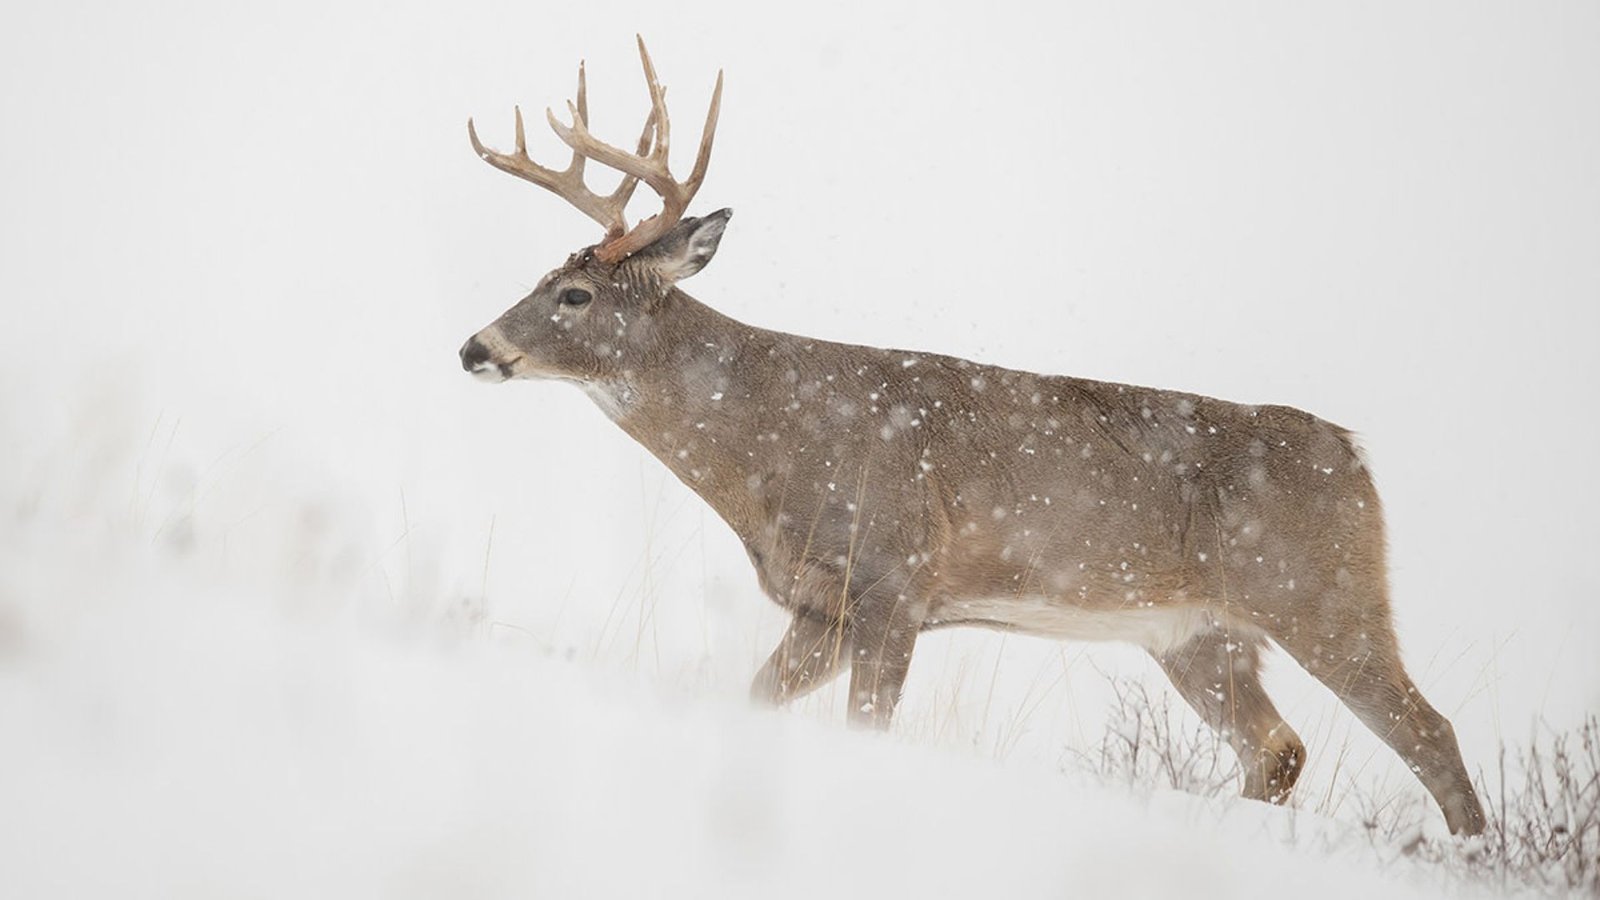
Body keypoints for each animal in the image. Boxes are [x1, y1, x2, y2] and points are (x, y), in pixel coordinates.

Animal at [457, 38, 1491, 832]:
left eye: (573, 294)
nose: (474, 347)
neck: (771, 447)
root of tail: (1356, 454)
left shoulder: (895, 577)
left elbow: (868, 730)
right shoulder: (822, 605)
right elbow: (753, 701)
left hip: (1323, 593)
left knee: (1430, 733)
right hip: (1198, 635)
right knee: (1279, 749)